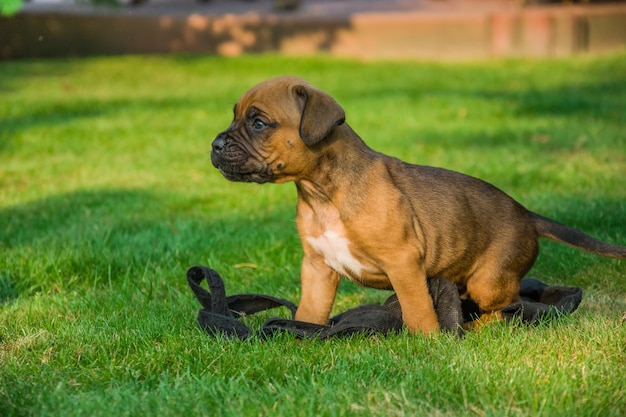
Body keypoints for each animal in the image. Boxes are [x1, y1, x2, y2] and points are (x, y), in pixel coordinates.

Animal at [211, 75, 624, 334]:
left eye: (259, 123)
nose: (214, 145)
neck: (323, 191)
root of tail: (527, 213)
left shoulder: (403, 262)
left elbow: (416, 308)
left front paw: (429, 342)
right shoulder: (317, 267)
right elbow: (311, 310)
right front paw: (300, 335)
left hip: (489, 280)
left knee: (511, 305)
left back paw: (478, 324)